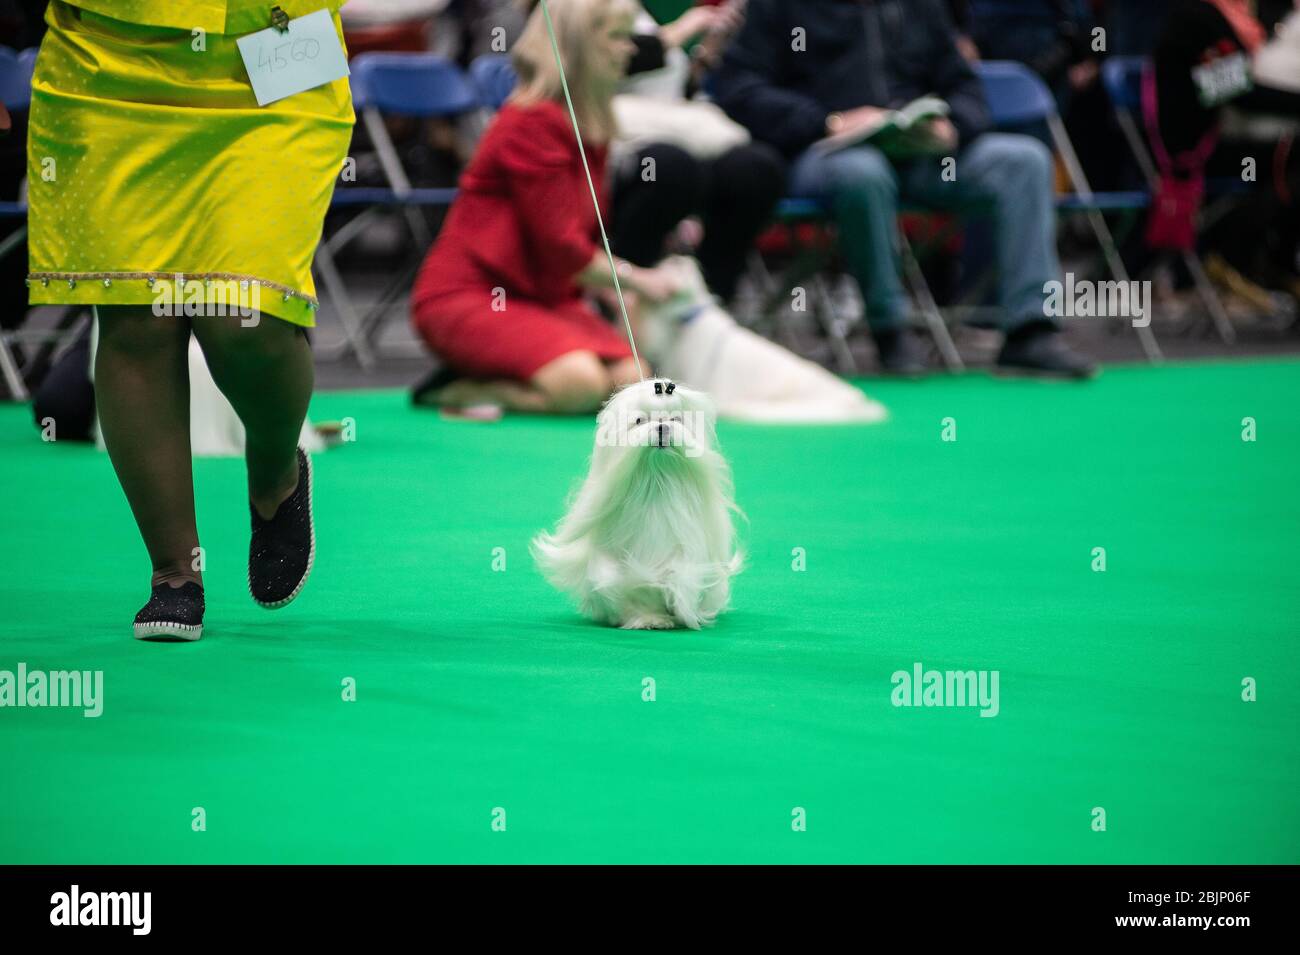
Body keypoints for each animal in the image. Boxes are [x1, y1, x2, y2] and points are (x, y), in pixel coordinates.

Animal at [533, 376, 743, 631]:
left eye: (676, 420)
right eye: (640, 420)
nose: (662, 427)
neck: (656, 484)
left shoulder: (686, 550)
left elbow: (679, 575)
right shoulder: (616, 562)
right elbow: (633, 588)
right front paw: (650, 618)